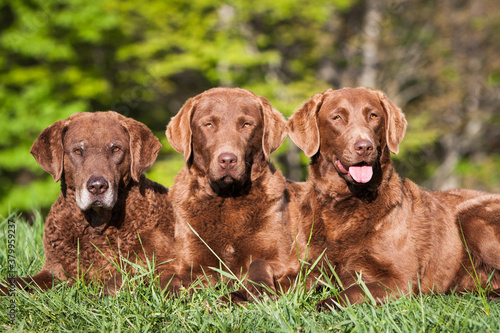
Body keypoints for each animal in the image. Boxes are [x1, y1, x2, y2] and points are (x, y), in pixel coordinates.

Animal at [0, 112, 177, 296]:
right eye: (78, 151)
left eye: (116, 149)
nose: (97, 186)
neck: (95, 226)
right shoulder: (54, 270)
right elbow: (18, 281)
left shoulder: (165, 263)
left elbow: (121, 278)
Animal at [168, 86, 298, 300]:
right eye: (209, 124)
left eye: (246, 124)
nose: (227, 160)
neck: (227, 199)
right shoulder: (191, 262)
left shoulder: (281, 259)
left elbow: (258, 265)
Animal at [288, 87, 500, 308]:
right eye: (337, 117)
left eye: (373, 116)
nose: (364, 147)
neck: (345, 204)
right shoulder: (311, 267)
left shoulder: (400, 279)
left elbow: (347, 294)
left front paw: (318, 306)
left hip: (471, 217)